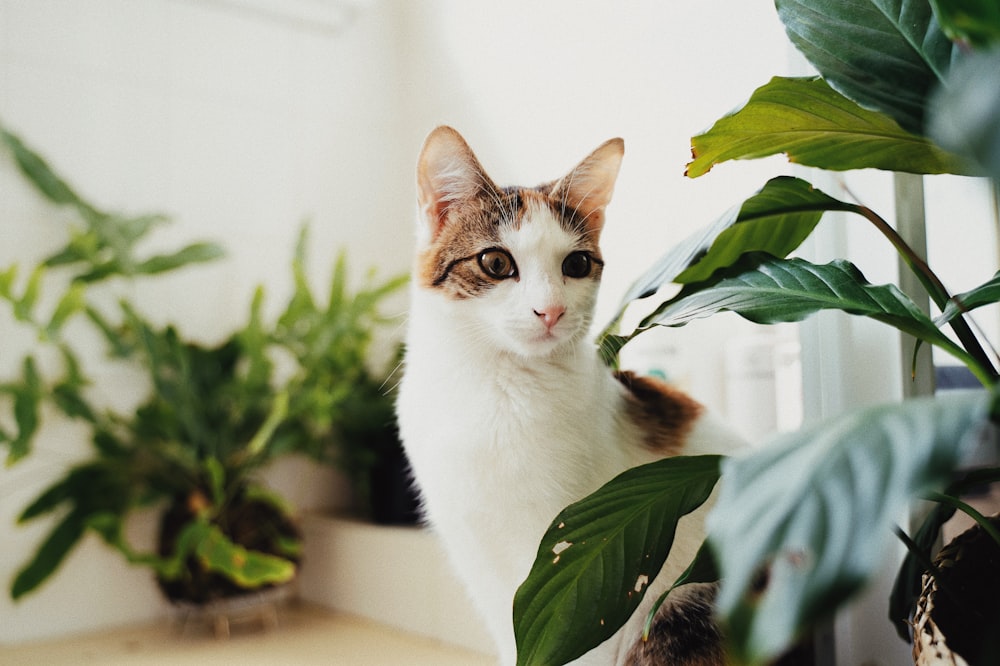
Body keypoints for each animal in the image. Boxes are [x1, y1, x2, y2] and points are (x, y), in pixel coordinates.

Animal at [394, 126, 748, 664]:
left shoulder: (574, 576)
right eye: (495, 262)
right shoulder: (483, 564)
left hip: (680, 604)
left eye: (577, 264)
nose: (551, 311)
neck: (496, 386)